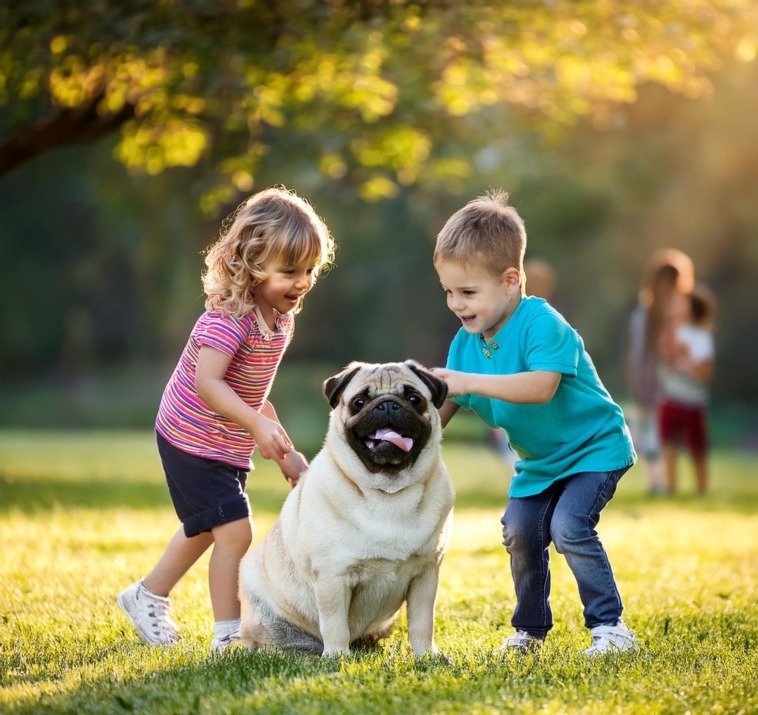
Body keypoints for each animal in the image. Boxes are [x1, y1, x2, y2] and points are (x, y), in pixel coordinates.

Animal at [240, 360, 454, 656]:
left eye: (414, 399)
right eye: (359, 402)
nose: (388, 404)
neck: (388, 491)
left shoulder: (425, 574)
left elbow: (423, 622)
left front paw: (426, 656)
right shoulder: (333, 576)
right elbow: (335, 624)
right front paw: (338, 657)